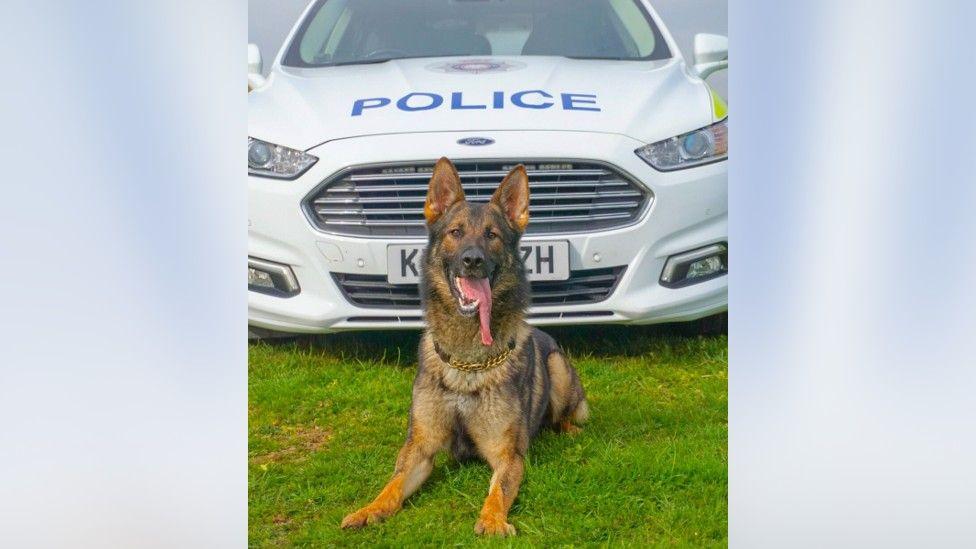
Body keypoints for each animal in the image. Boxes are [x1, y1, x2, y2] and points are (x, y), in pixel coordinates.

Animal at [344, 156, 588, 532]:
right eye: (455, 233)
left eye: (492, 235)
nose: (473, 260)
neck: (467, 362)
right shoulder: (420, 449)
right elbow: (393, 484)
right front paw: (369, 508)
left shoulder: (508, 455)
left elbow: (499, 490)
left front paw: (492, 520)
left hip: (557, 367)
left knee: (560, 415)